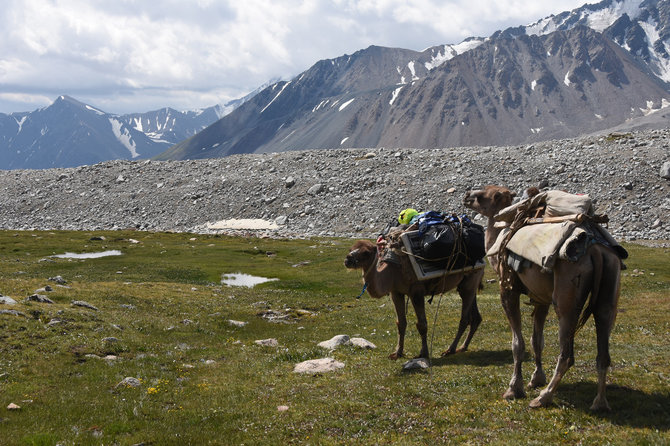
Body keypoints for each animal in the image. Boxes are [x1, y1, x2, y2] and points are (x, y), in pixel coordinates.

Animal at [344, 239, 486, 360]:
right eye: (351, 248)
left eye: (366, 252)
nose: (347, 259)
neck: (392, 271)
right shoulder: (396, 292)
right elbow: (401, 323)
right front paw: (397, 353)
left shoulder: (416, 291)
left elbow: (422, 324)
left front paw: (424, 353)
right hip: (466, 284)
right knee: (475, 316)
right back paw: (463, 347)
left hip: (471, 280)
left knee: (465, 318)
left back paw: (450, 350)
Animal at [464, 186, 624, 412]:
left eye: (482, 195)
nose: (466, 196)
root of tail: (596, 252)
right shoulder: (540, 298)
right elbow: (536, 341)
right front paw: (536, 379)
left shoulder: (508, 290)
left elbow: (518, 344)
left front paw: (514, 389)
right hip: (609, 287)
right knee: (603, 349)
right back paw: (599, 403)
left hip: (566, 296)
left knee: (567, 353)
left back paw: (543, 397)